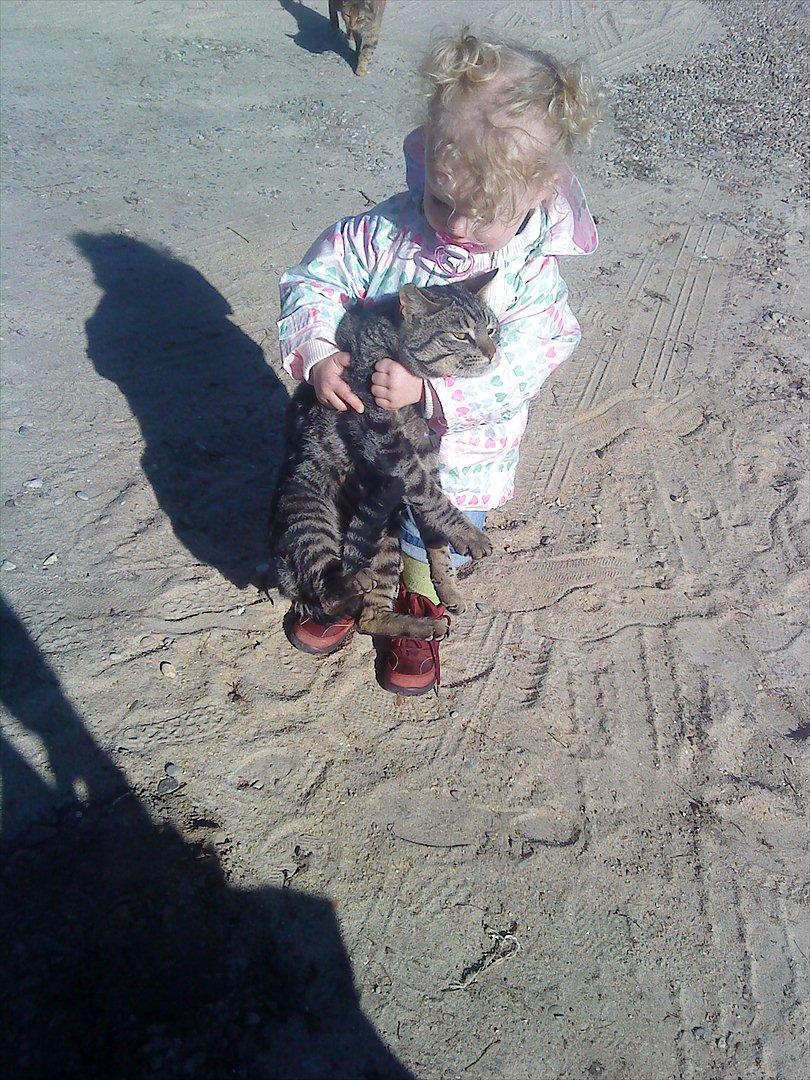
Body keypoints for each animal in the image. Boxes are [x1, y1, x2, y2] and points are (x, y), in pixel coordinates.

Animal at [271, 270, 501, 639]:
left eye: (491, 330)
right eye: (460, 335)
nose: (493, 353)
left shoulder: (426, 457)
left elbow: (433, 532)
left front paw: (447, 585)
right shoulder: (389, 444)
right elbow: (434, 499)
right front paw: (468, 534)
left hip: (385, 539)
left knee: (369, 617)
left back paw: (418, 624)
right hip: (311, 517)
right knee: (326, 590)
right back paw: (347, 580)